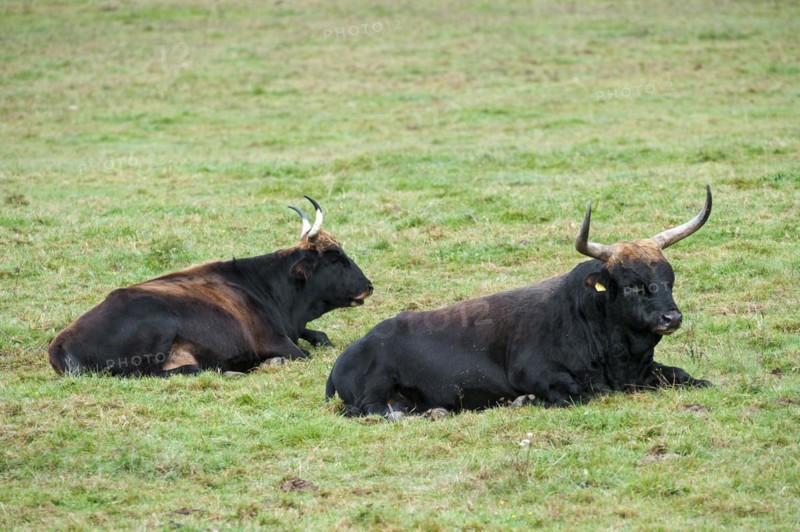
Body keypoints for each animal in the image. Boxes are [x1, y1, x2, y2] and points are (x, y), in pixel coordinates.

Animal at [48, 196, 373, 377]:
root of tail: (60, 344)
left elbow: (321, 337)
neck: (266, 288)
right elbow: (305, 352)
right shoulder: (275, 341)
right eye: (335, 257)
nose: (369, 285)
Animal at [326, 187, 712, 419]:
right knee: (366, 410)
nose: (672, 317)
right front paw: (525, 400)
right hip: (375, 389)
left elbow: (686, 376)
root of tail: (354, 348)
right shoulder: (540, 373)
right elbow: (581, 394)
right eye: (632, 286)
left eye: (668, 279)